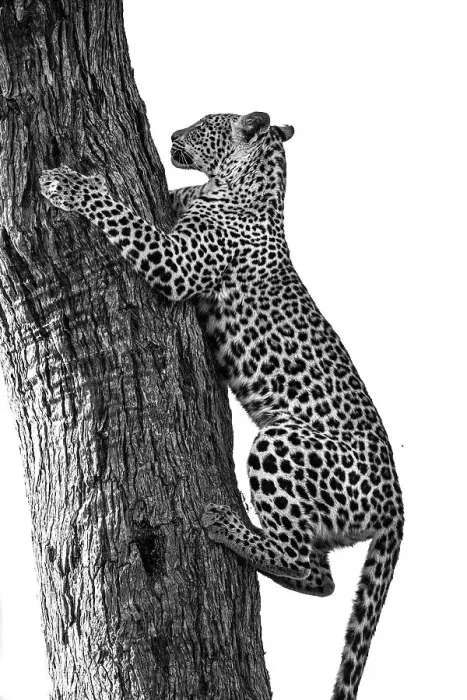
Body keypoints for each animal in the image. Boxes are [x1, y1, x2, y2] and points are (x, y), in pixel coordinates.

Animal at [40, 111, 404, 700]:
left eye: (208, 122)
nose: (170, 136)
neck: (248, 188)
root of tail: (398, 503)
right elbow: (165, 198)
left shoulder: (173, 261)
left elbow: (121, 215)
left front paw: (67, 185)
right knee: (320, 576)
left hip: (281, 442)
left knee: (313, 568)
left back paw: (226, 526)